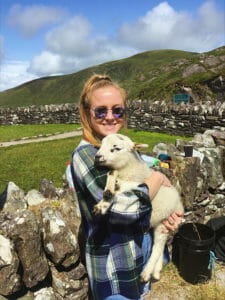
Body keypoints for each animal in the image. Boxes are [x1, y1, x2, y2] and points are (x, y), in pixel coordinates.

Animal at [92, 134, 184, 284]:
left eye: (116, 148)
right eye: (101, 144)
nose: (97, 156)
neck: (128, 168)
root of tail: (180, 206)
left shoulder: (136, 182)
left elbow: (122, 188)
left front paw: (106, 199)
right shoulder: (118, 172)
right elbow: (111, 173)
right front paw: (105, 197)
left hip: (163, 220)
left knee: (157, 247)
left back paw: (146, 274)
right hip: (158, 223)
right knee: (160, 246)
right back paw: (156, 272)